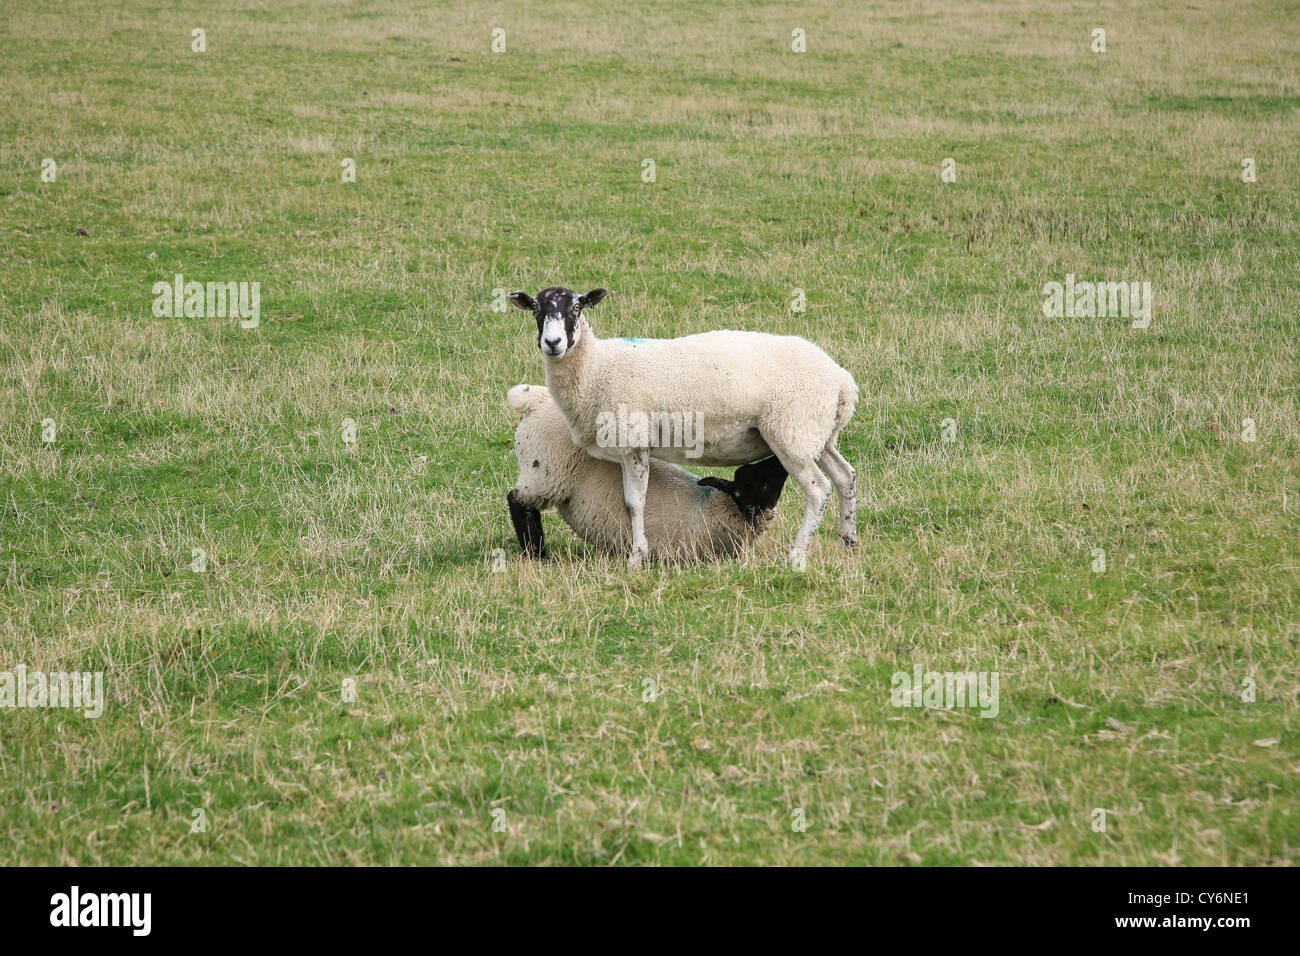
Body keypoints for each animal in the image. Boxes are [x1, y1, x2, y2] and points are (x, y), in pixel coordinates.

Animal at [505, 383, 789, 562]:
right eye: (753, 481)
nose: (778, 459)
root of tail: (537, 401)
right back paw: (537, 554)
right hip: (546, 469)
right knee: (517, 500)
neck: (714, 509)